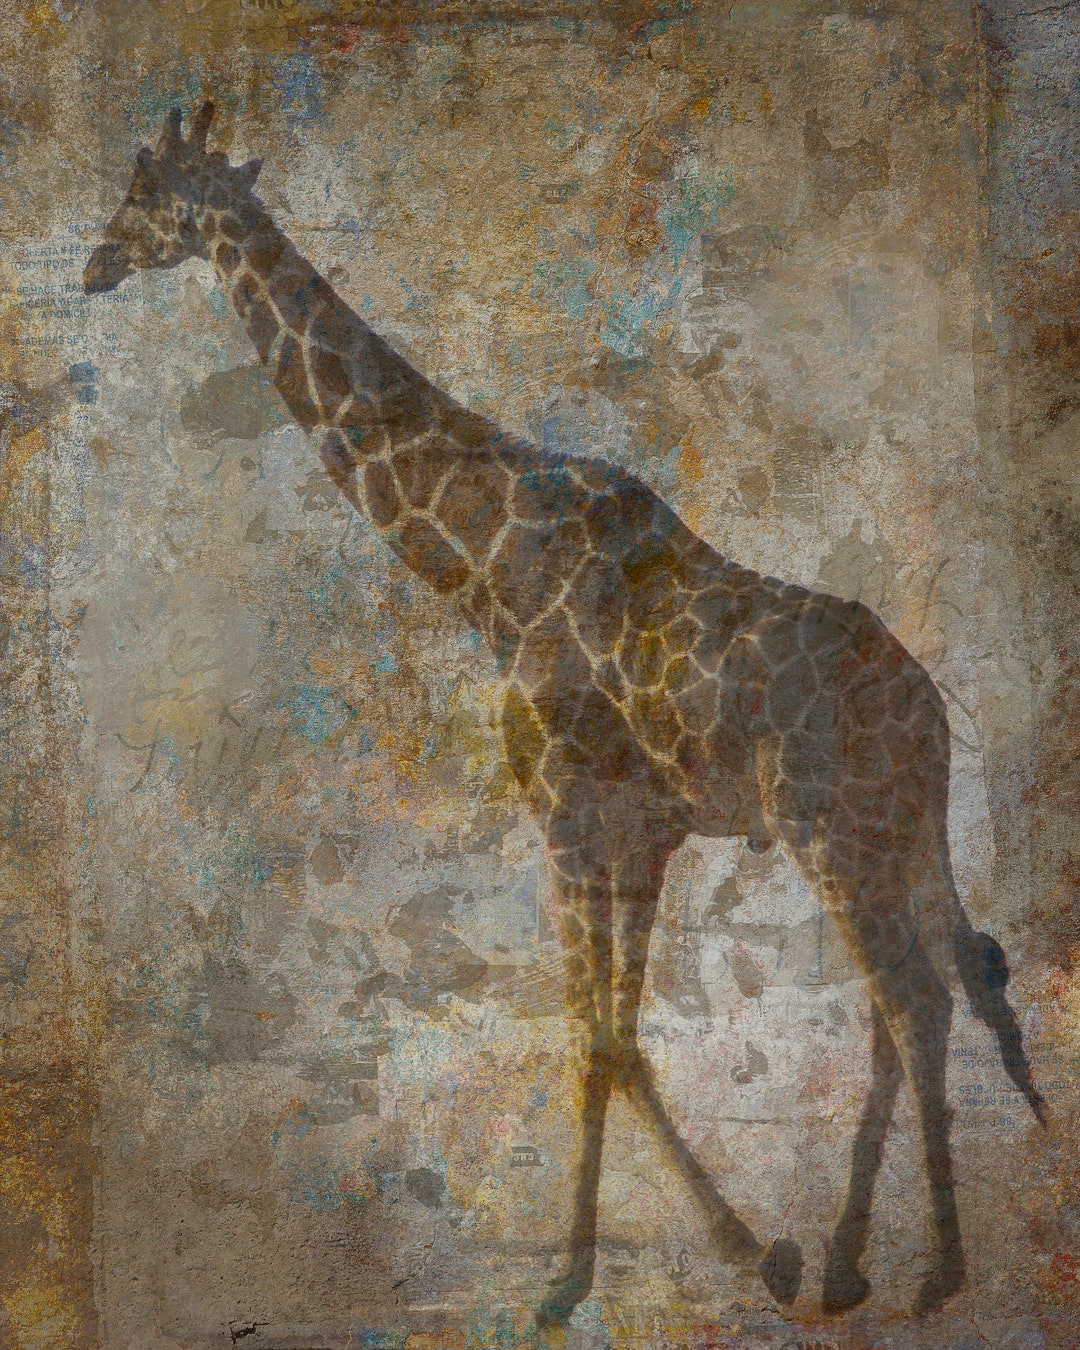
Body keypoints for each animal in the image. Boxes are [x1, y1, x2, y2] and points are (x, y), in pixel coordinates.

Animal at [84, 103, 1044, 1327]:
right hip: (897, 832)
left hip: (833, 830)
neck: (485, 574)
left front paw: (589, 1278)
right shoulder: (639, 838)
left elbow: (596, 1042)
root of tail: (929, 708)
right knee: (920, 996)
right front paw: (730, 1256)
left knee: (917, 1000)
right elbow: (618, 1041)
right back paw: (848, 1262)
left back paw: (930, 1274)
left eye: (145, 192)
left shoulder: (571, 821)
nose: (94, 264)